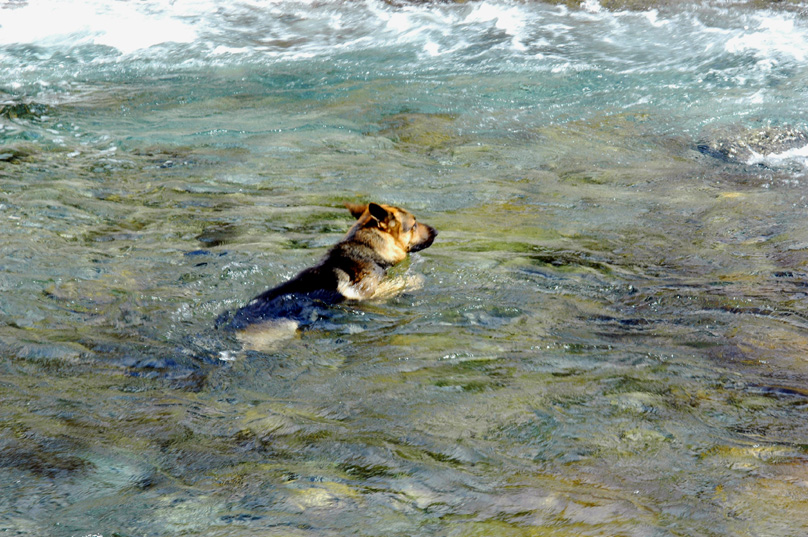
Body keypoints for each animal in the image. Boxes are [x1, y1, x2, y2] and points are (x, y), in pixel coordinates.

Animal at [216, 201, 436, 340]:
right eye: (414, 224)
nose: (436, 231)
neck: (370, 247)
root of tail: (230, 322)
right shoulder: (368, 291)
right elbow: (405, 282)